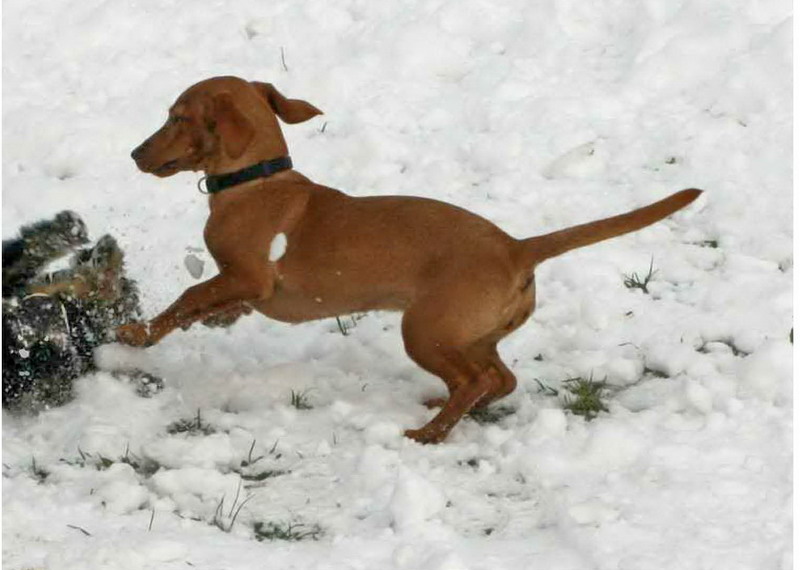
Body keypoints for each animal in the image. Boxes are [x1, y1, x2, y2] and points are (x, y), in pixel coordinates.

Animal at [117, 76, 702, 443]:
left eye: (176, 118)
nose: (134, 153)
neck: (256, 180)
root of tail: (516, 245)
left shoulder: (247, 275)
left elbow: (187, 297)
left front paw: (136, 334)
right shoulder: (238, 285)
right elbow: (205, 306)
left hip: (425, 331)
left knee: (477, 381)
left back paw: (429, 434)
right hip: (470, 335)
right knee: (497, 379)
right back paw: (444, 412)